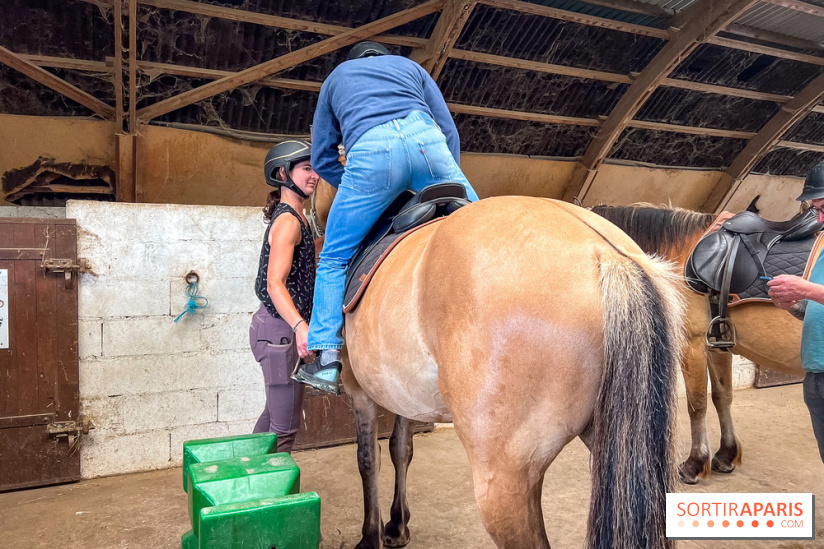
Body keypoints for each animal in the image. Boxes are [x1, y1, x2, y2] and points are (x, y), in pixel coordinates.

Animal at [311, 186, 686, 549]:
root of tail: (606, 254)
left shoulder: (360, 392)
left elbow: (367, 458)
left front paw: (370, 535)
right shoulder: (402, 395)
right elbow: (400, 449)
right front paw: (397, 524)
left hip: (504, 483)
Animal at [591, 204, 806, 485]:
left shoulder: (691, 344)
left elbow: (697, 404)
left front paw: (694, 463)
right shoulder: (717, 343)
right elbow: (722, 397)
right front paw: (726, 455)